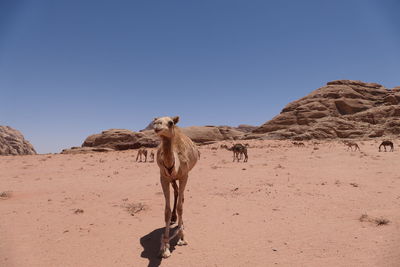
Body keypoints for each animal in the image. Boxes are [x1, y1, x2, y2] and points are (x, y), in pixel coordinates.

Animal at [152, 116, 199, 258]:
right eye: (155, 121)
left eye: (170, 122)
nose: (157, 125)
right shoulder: (164, 178)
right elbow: (166, 211)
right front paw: (165, 247)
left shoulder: (184, 176)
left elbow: (180, 207)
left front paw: (181, 238)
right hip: (172, 179)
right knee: (177, 192)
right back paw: (175, 219)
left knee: (181, 198)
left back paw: (180, 226)